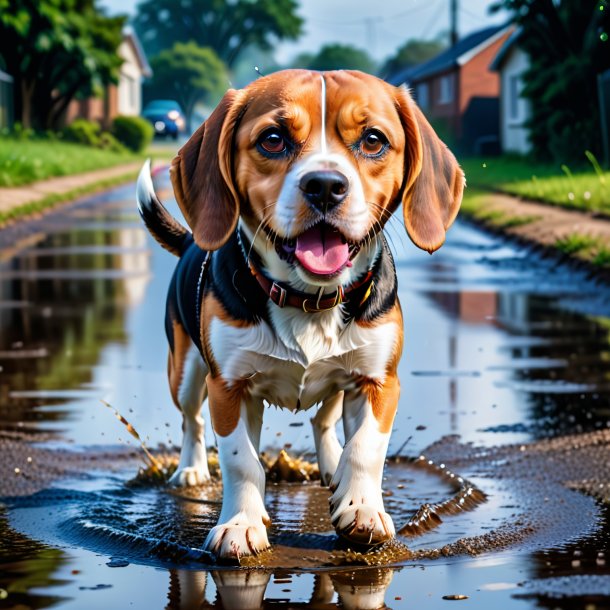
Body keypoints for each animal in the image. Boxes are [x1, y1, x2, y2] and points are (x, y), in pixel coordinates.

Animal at [137, 69, 460, 560]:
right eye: (273, 139)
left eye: (373, 140)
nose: (325, 185)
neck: (309, 298)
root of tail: (193, 238)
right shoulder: (229, 387)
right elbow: (241, 461)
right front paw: (241, 524)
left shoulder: (378, 381)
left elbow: (365, 448)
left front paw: (362, 508)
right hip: (187, 372)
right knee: (192, 420)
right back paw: (191, 470)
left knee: (323, 421)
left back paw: (332, 469)